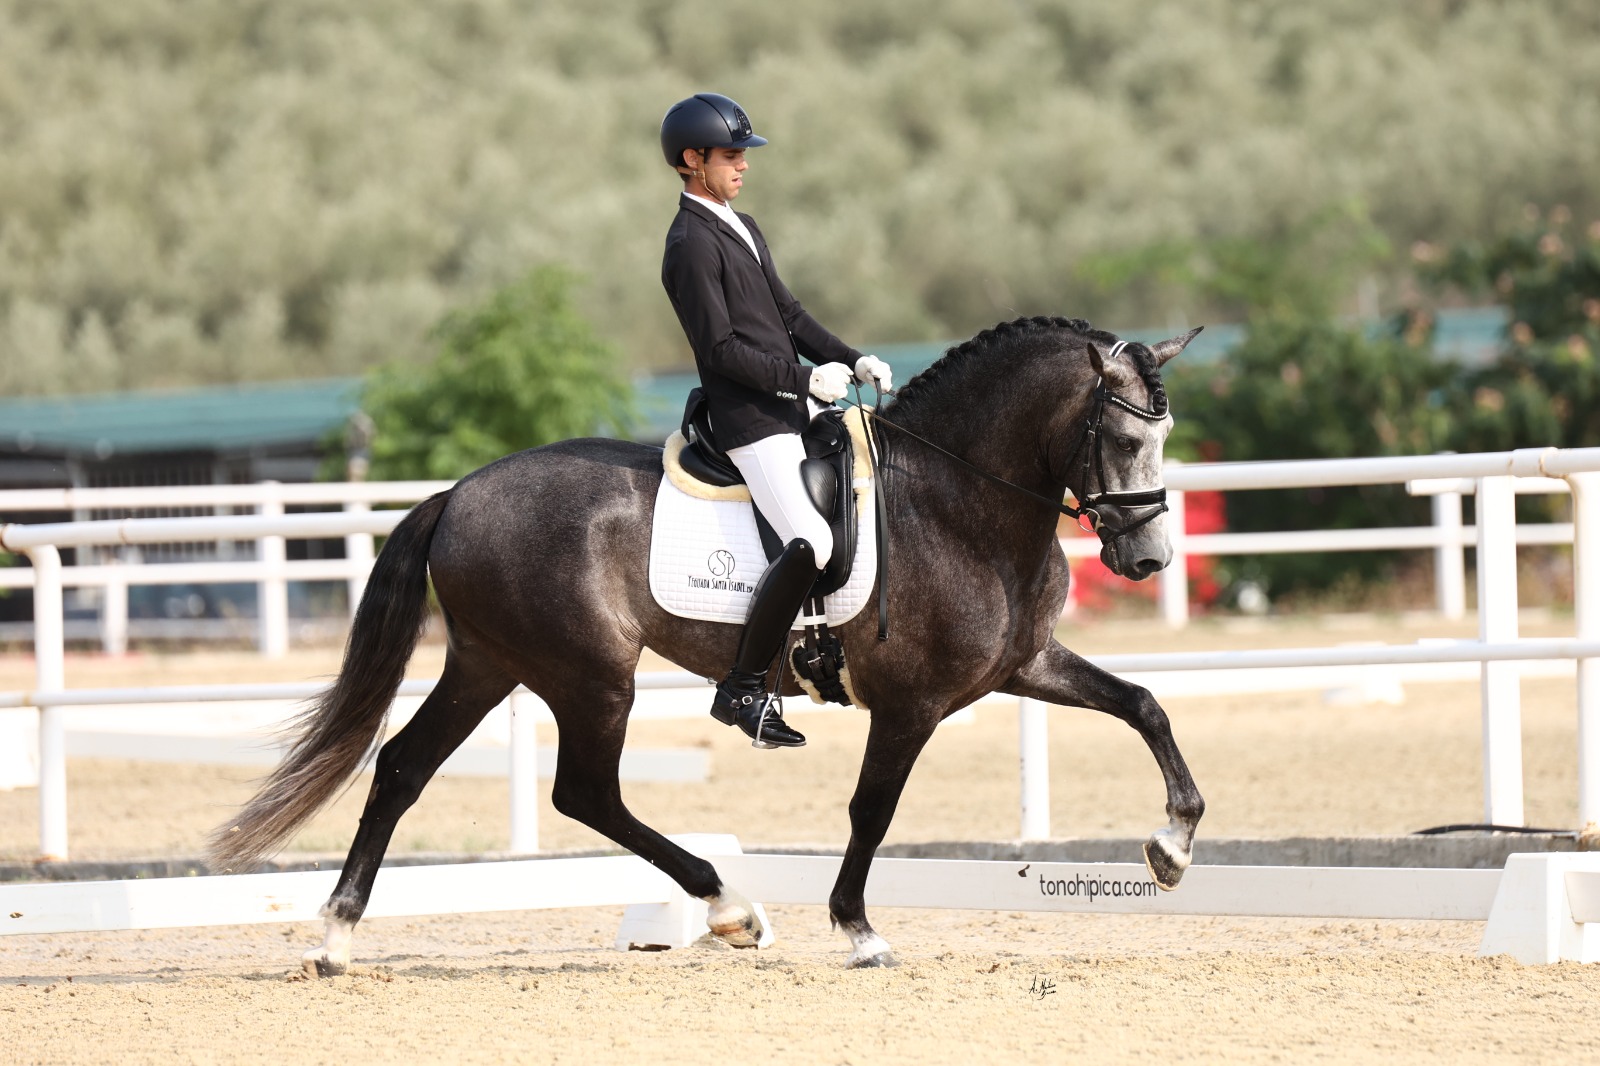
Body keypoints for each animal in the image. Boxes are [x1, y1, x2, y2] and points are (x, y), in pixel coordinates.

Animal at [209, 313, 1203, 973]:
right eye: (1123, 439)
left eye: (1164, 436)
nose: (1149, 558)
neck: (958, 501)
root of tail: (458, 493)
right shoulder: (911, 703)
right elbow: (871, 811)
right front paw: (858, 929)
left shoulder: (1022, 667)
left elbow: (1145, 705)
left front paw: (1172, 847)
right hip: (591, 676)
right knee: (583, 793)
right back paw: (729, 907)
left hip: (489, 665)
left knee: (405, 768)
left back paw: (336, 937)